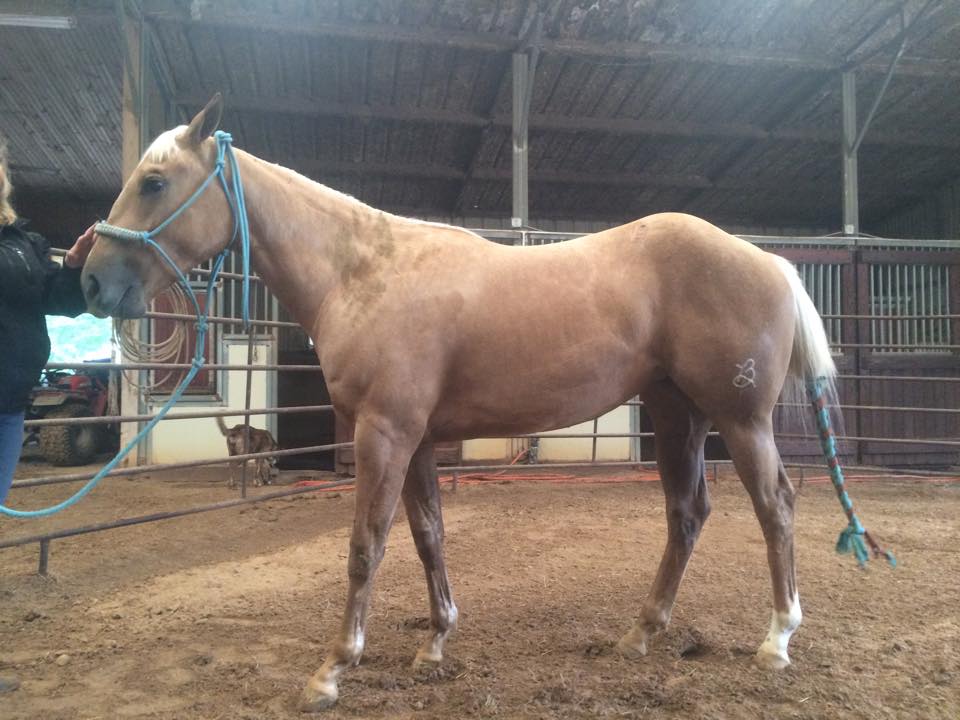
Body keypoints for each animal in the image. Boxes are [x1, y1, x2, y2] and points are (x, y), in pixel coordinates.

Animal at [82, 95, 835, 711]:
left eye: (153, 182)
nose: (89, 280)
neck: (365, 271)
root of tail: (769, 260)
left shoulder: (383, 433)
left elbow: (366, 544)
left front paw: (332, 670)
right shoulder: (414, 437)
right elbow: (427, 536)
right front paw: (435, 643)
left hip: (740, 421)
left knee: (776, 508)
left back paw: (776, 641)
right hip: (678, 414)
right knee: (687, 514)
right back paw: (641, 634)